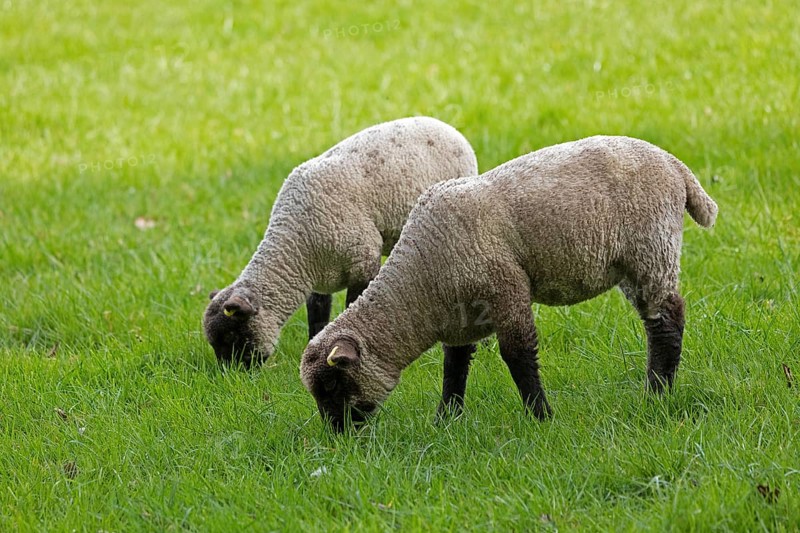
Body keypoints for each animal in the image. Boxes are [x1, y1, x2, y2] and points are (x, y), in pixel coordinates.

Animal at [203, 117, 478, 366]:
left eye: (231, 336)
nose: (232, 375)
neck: (295, 247)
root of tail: (447, 126)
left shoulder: (363, 261)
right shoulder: (319, 278)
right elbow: (317, 314)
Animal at [300, 135, 718, 430]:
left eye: (332, 385)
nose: (338, 435)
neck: (421, 285)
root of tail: (674, 165)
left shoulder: (506, 291)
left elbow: (517, 355)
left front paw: (542, 417)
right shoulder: (462, 316)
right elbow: (454, 366)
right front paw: (446, 419)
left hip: (651, 249)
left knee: (666, 321)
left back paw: (657, 393)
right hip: (637, 262)